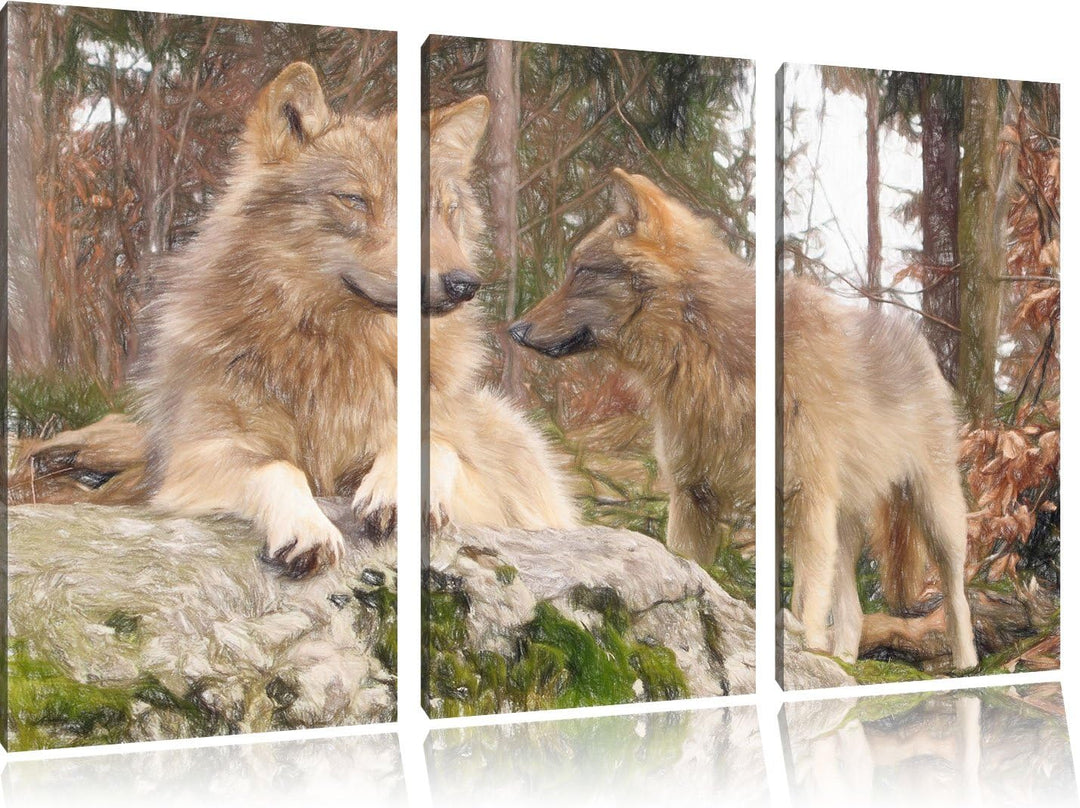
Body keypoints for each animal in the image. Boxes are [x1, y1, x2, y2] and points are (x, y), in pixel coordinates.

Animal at [781, 275, 978, 670]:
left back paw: (969, 665)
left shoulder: (810, 495)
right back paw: (842, 661)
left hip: (936, 512)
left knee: (956, 594)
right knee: (853, 615)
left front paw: (805, 645)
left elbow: (807, 595)